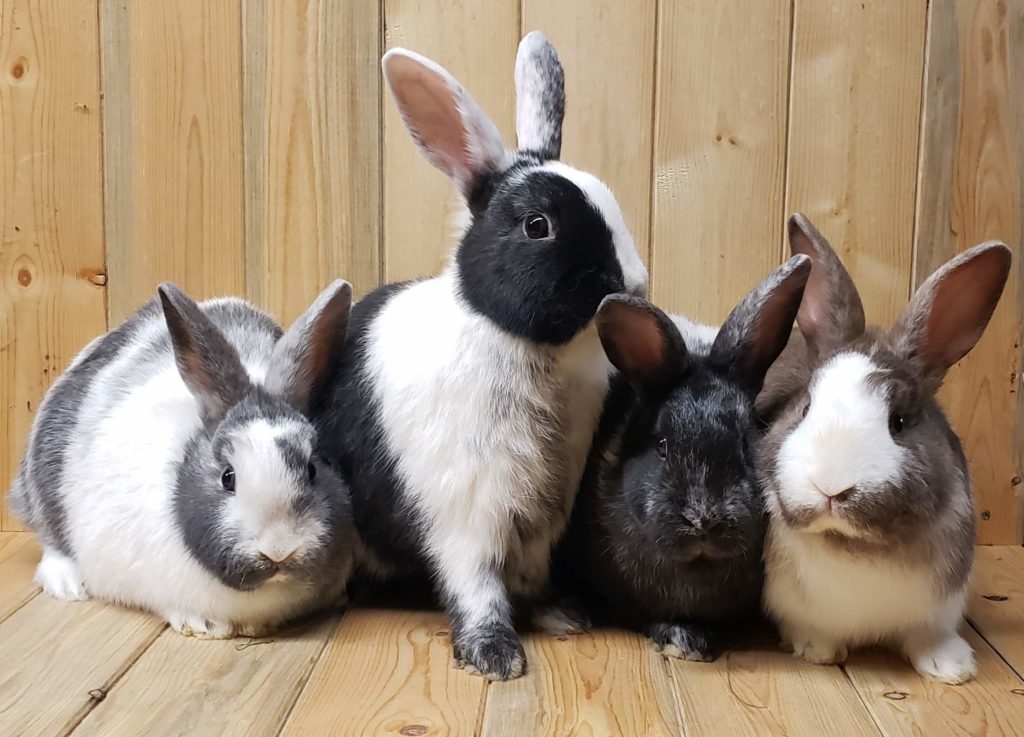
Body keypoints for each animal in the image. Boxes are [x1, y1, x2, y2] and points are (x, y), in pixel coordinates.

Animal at [10, 280, 357, 638]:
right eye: (228, 477)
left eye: (312, 470)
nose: (278, 551)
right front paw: (202, 625)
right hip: (44, 479)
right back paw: (67, 584)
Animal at [311, 31, 647, 680]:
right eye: (538, 225)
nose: (633, 286)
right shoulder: (467, 510)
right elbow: (476, 584)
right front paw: (495, 655)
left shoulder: (541, 516)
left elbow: (528, 576)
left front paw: (559, 615)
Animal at [756, 213, 1012, 684]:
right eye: (804, 408)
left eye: (900, 421)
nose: (831, 486)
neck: (857, 547)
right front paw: (816, 650)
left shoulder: (936, 608)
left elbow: (929, 635)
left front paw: (952, 667)